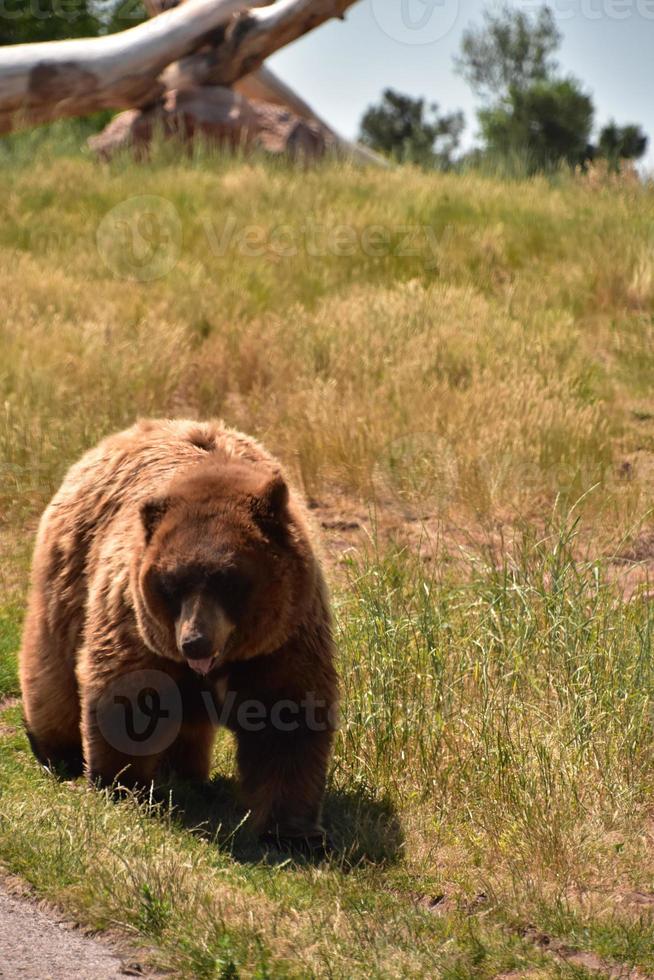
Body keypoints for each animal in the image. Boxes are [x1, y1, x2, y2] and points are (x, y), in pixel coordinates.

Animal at [19, 418, 338, 840]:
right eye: (171, 584)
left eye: (229, 580)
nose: (195, 642)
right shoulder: (136, 626)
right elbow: (126, 694)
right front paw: (119, 783)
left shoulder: (283, 639)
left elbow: (288, 719)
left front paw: (292, 829)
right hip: (68, 578)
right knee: (52, 673)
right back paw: (58, 749)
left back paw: (186, 774)